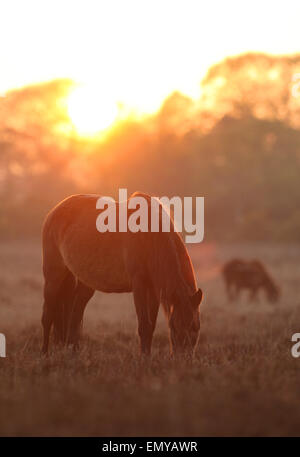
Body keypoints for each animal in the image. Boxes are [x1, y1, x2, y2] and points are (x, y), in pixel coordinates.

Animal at [41, 192, 203, 356]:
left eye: (196, 327)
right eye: (174, 326)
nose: (184, 357)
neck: (149, 236)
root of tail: (54, 212)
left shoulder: (154, 289)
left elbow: (151, 326)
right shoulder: (139, 284)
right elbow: (144, 325)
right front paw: (144, 358)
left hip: (84, 283)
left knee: (75, 314)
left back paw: (73, 351)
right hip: (53, 276)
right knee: (47, 316)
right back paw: (44, 353)